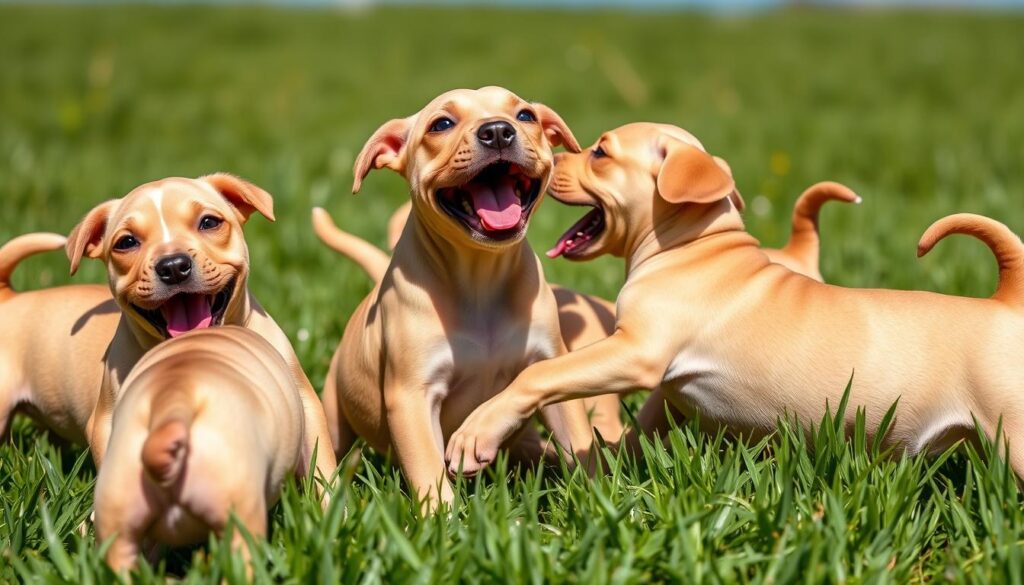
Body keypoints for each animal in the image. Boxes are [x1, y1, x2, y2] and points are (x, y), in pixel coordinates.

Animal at [64, 174, 335, 485]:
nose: (173, 266)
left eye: (208, 222)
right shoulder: (108, 417)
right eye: (127, 242)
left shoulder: (303, 399)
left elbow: (321, 463)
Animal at [315, 87, 598, 508]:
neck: (479, 276)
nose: (497, 131)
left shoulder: (548, 361)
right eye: (442, 124)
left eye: (525, 115)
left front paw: (601, 501)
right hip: (335, 413)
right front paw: (443, 520)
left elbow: (576, 437)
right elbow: (429, 473)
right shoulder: (412, 397)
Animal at [448, 121, 1024, 477]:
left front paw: (477, 433)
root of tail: (1008, 301)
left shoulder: (635, 352)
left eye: (601, 153)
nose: (550, 157)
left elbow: (541, 374)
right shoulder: (665, 382)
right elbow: (643, 423)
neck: (696, 245)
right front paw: (610, 466)